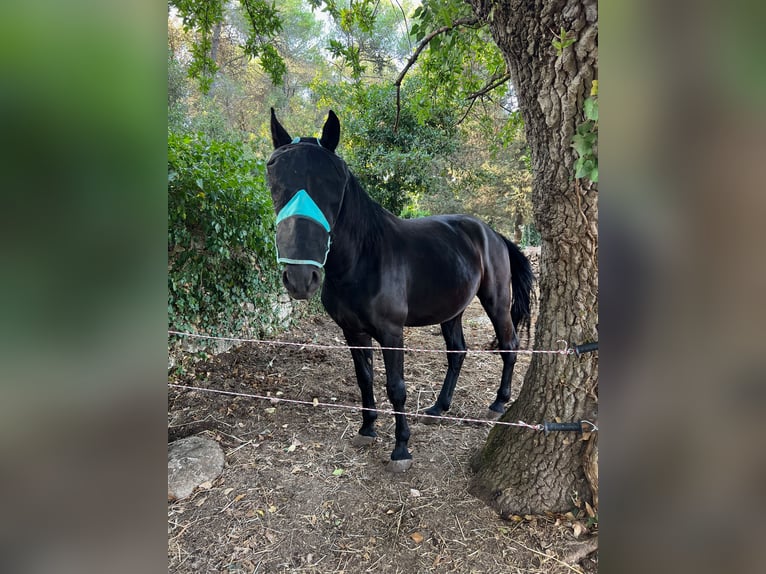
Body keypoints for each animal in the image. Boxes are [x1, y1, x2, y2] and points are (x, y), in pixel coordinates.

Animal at [266, 109, 534, 472]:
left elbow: (396, 387)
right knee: (457, 352)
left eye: (333, 181)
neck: (363, 259)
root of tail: (492, 234)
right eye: (273, 176)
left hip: (496, 303)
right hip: (452, 310)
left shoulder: (391, 333)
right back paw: (439, 407)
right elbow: (364, 378)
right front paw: (367, 429)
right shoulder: (353, 331)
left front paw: (401, 448)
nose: (299, 277)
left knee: (509, 345)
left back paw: (498, 403)